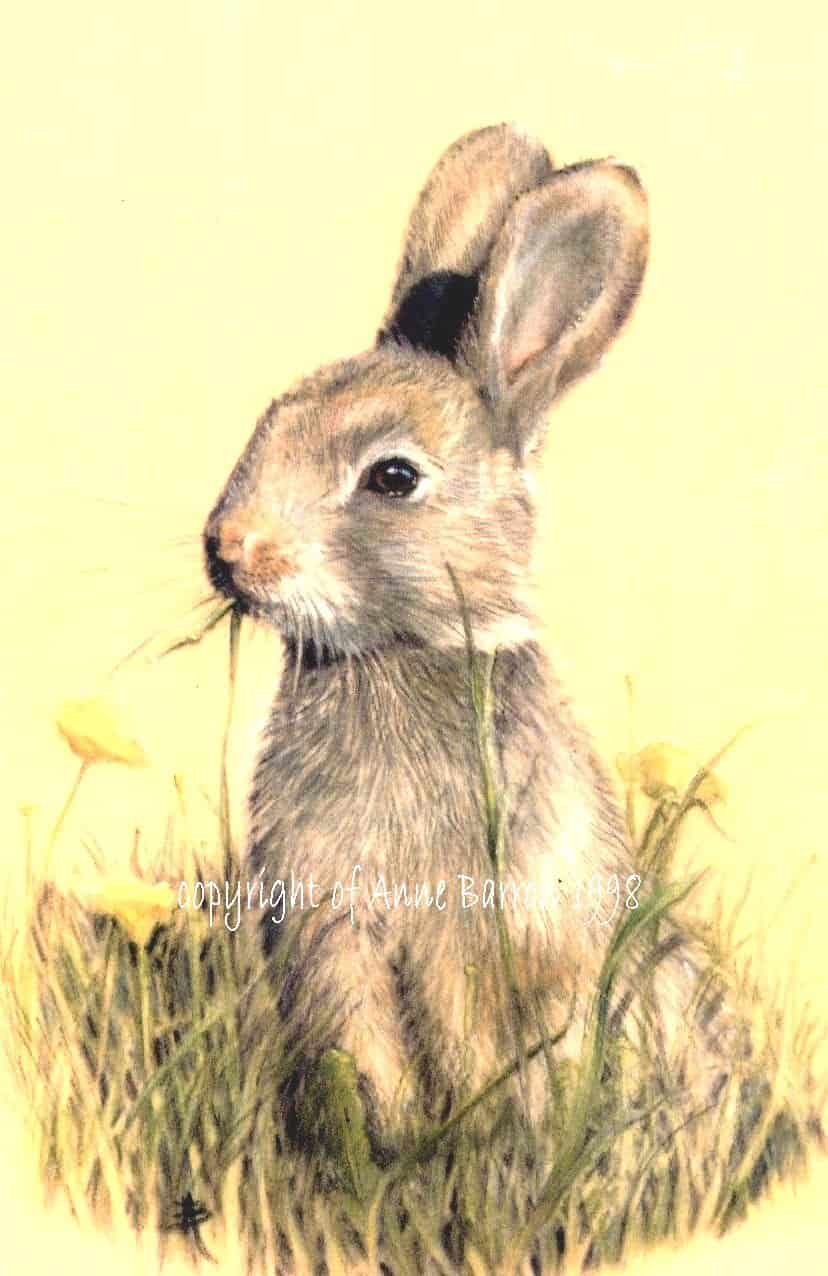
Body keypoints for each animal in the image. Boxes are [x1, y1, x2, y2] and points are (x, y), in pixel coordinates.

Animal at [203, 124, 731, 1136]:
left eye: (393, 478)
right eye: (267, 423)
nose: (229, 548)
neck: (396, 655)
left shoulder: (470, 938)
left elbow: (471, 1044)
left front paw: (467, 1141)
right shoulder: (334, 931)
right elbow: (362, 1049)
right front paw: (389, 1139)